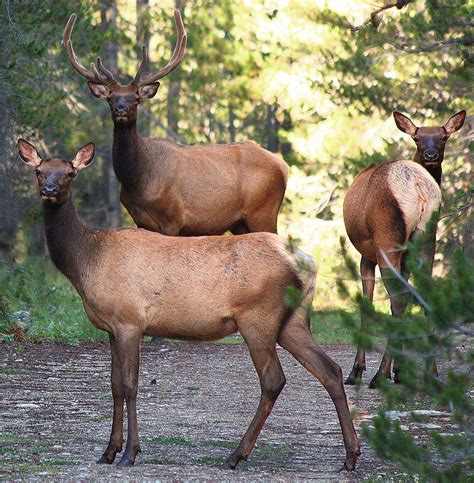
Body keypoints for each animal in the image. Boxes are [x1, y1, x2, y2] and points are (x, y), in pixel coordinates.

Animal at [61, 10, 286, 237]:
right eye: (110, 98)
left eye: (136, 98)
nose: (121, 109)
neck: (137, 181)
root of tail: (282, 166)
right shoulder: (140, 220)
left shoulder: (173, 218)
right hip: (240, 223)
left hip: (264, 212)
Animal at [340, 110, 466, 390]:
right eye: (418, 138)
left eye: (443, 137)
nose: (430, 154)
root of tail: (419, 187)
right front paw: (401, 371)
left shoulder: (366, 254)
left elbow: (368, 304)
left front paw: (357, 371)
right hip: (427, 238)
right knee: (423, 296)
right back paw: (432, 375)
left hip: (388, 238)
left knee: (398, 298)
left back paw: (379, 375)